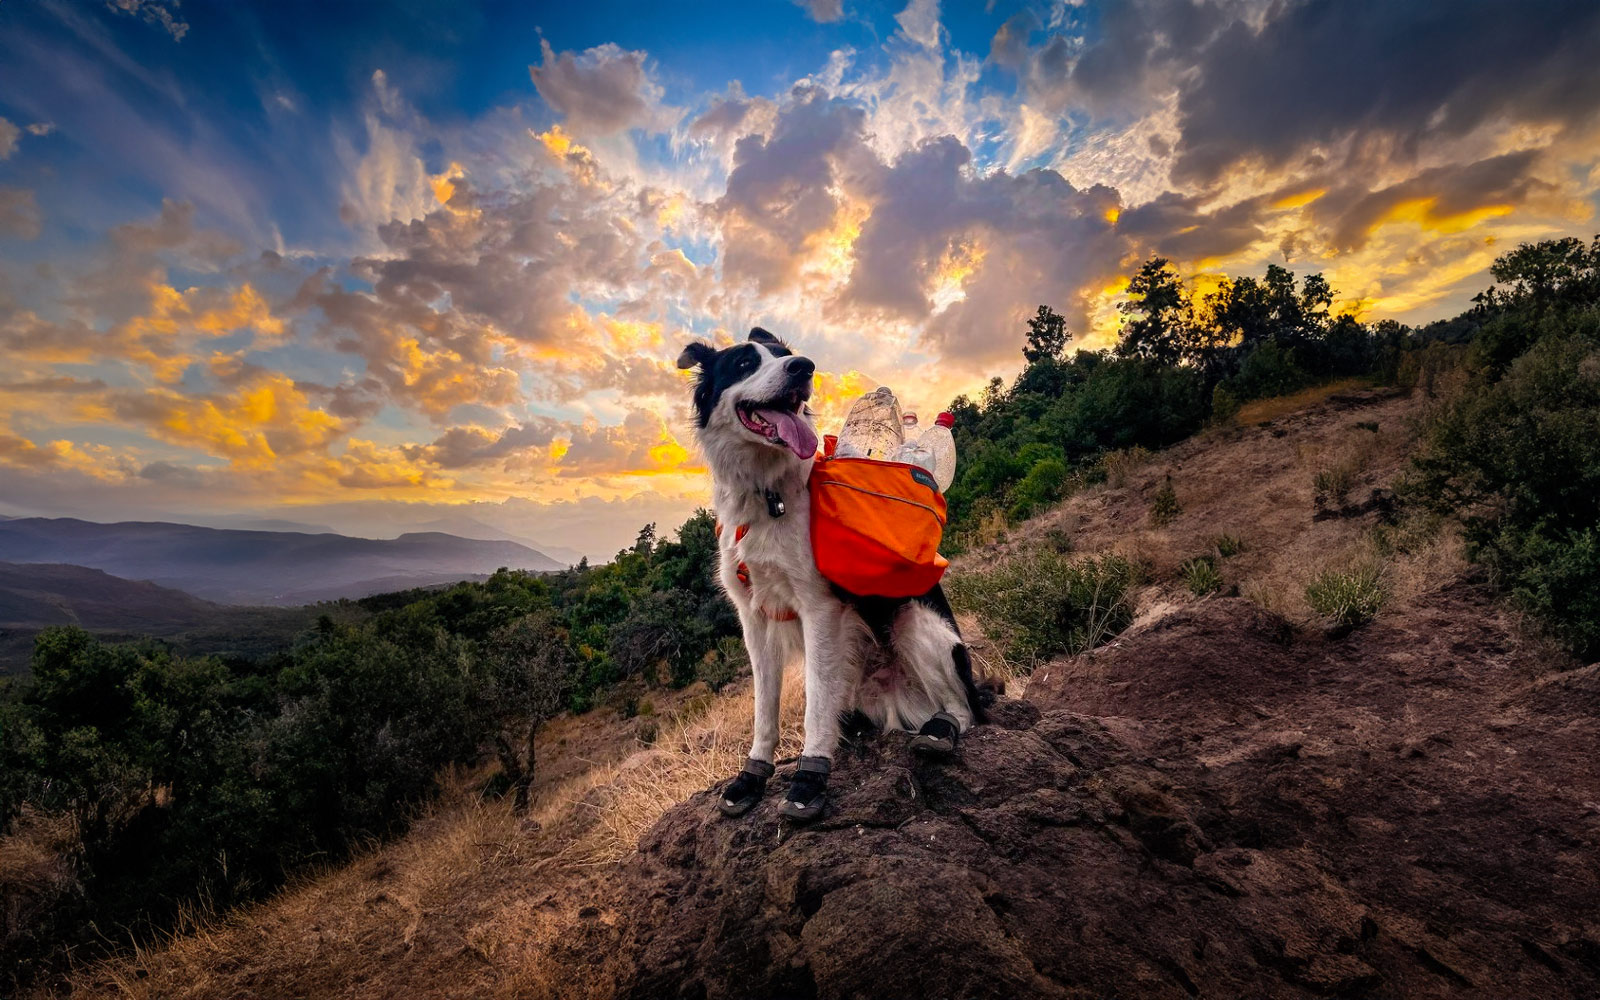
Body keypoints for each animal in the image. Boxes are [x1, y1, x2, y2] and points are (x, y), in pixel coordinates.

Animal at [672, 328, 979, 819]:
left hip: (916, 624)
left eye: (784, 355)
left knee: (965, 709)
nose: (803, 366)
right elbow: (764, 707)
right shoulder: (753, 618)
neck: (766, 493)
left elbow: (815, 703)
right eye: (744, 364)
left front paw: (809, 776)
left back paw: (940, 730)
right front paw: (752, 775)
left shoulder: (819, 607)